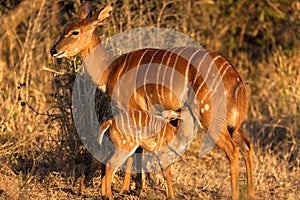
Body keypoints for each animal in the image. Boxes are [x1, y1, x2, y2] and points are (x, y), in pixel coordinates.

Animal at [51, 1, 253, 200]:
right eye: (65, 29)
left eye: (75, 32)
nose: (54, 50)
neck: (110, 69)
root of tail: (235, 77)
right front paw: (135, 189)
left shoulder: (129, 107)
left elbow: (135, 151)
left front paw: (127, 189)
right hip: (231, 121)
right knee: (247, 144)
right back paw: (251, 193)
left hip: (208, 113)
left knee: (233, 149)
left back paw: (236, 195)